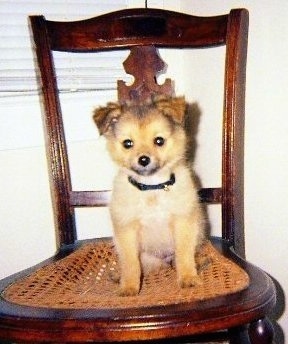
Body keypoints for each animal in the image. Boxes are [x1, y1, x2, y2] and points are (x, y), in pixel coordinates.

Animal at [93, 96, 205, 296]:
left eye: (159, 141)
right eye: (127, 143)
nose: (144, 159)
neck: (152, 188)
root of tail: (164, 260)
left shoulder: (183, 223)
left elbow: (184, 255)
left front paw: (188, 278)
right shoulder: (127, 231)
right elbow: (130, 264)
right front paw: (129, 287)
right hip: (146, 257)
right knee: (140, 266)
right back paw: (118, 276)